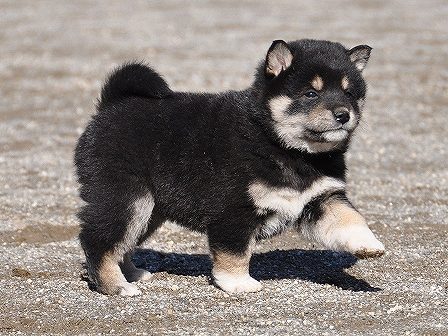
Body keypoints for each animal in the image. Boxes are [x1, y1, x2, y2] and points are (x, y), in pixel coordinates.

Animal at [75, 39, 384, 296]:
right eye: (310, 93)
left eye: (349, 94)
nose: (343, 114)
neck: (285, 148)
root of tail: (110, 106)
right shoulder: (234, 210)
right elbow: (236, 253)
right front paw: (238, 283)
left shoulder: (321, 199)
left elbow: (350, 219)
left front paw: (369, 244)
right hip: (126, 199)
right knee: (98, 241)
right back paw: (115, 286)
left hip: (149, 210)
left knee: (124, 243)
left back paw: (131, 274)